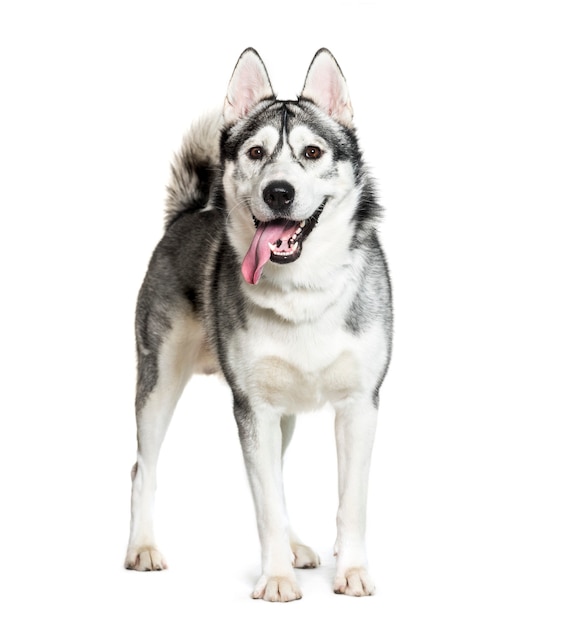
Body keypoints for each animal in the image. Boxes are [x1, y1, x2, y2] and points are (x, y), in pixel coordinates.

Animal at [125, 48, 390, 600]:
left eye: (312, 152)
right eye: (254, 152)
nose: (279, 192)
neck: (302, 292)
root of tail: (187, 215)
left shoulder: (360, 406)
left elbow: (350, 502)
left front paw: (352, 570)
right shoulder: (252, 410)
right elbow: (264, 503)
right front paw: (276, 578)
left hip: (282, 415)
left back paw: (296, 546)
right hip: (158, 383)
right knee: (144, 467)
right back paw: (142, 548)